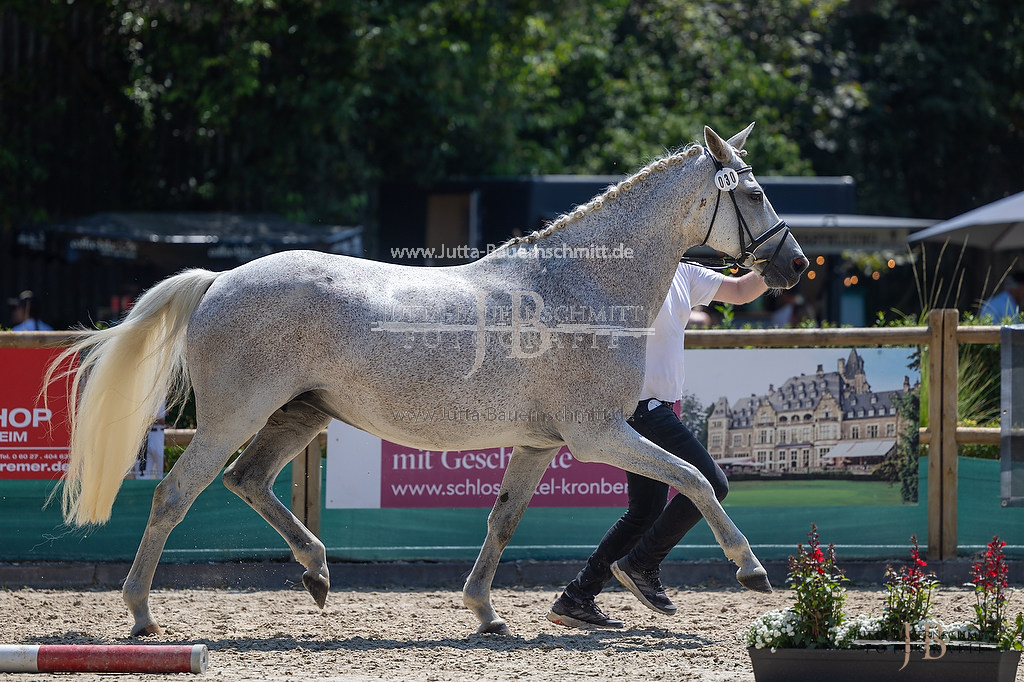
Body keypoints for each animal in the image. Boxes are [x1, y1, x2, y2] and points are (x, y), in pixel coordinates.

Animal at [49, 120, 806, 630]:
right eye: (755, 193)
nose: (795, 264)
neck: (580, 285)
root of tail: (220, 279)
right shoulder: (600, 434)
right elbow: (695, 480)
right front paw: (751, 571)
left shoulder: (540, 444)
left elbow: (504, 520)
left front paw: (485, 611)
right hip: (233, 416)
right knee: (174, 495)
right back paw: (142, 613)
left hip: (301, 413)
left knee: (248, 481)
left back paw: (317, 573)